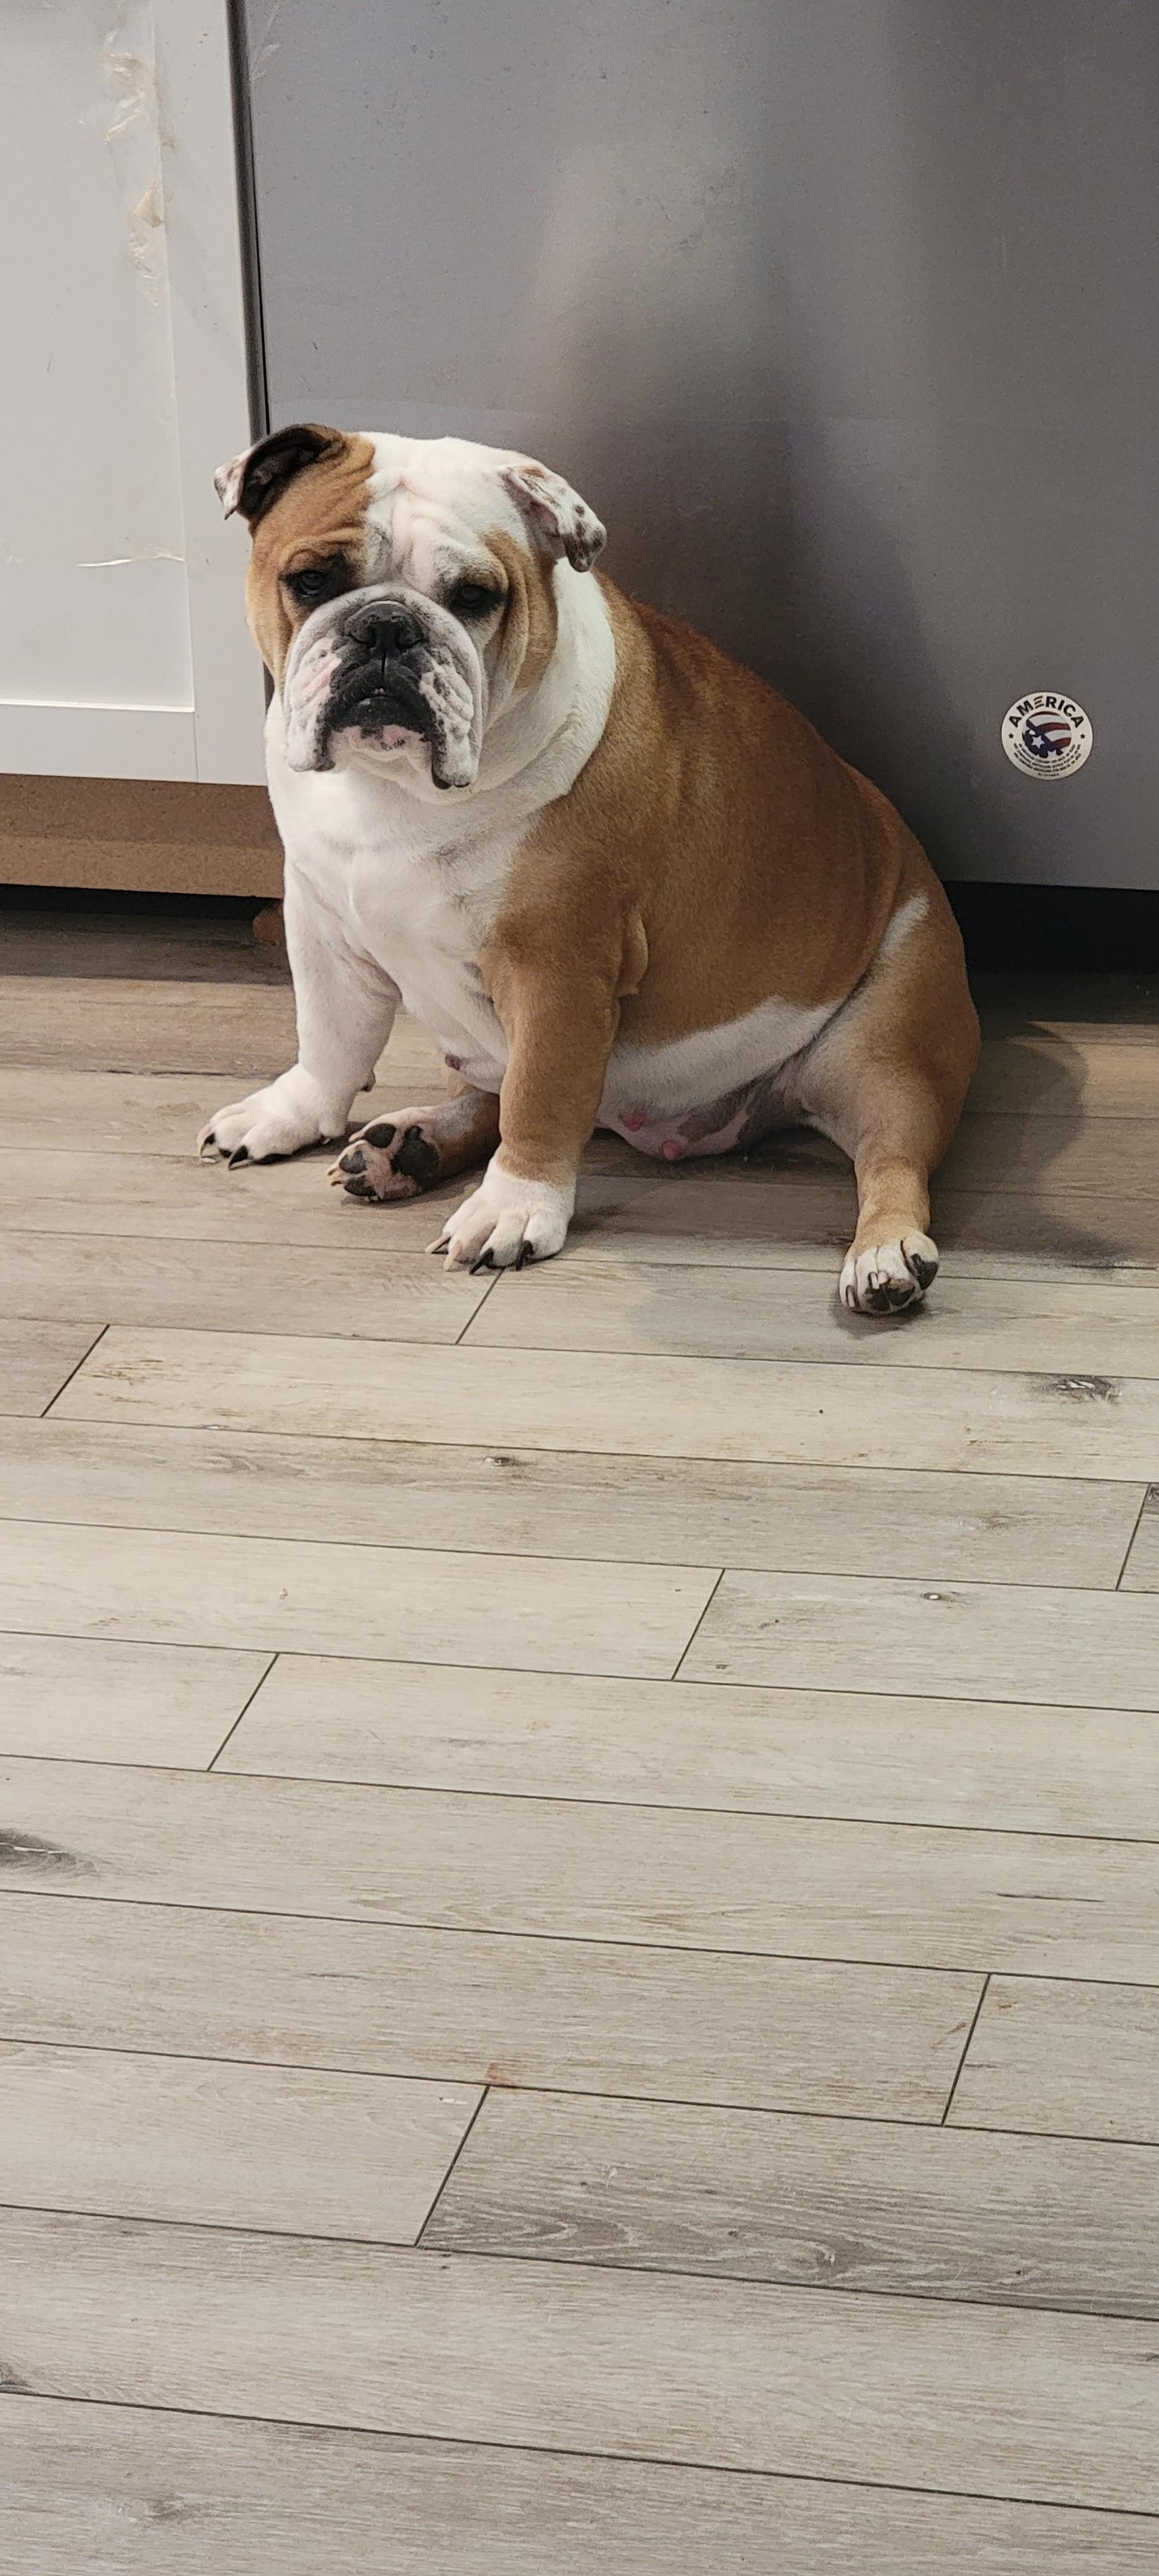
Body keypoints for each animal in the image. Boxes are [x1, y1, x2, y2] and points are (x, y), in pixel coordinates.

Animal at [200, 424, 979, 1311]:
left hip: (887, 1050)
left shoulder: (556, 966)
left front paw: (514, 1208)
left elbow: (540, 1095)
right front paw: (289, 1112)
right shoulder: (321, 921)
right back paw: (409, 1145)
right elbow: (329, 1041)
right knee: (490, 1089)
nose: (388, 628)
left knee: (891, 1157)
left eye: (475, 597)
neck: (393, 791)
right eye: (311, 581)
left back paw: (884, 1257)